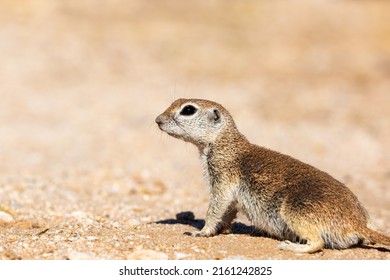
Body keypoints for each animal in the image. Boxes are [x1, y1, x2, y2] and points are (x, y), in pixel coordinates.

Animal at [155, 99, 390, 254]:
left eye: (188, 109)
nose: (157, 120)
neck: (226, 143)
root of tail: (357, 224)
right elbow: (228, 209)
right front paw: (222, 229)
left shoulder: (223, 176)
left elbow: (217, 205)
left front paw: (201, 232)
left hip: (296, 210)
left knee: (318, 243)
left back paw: (291, 246)